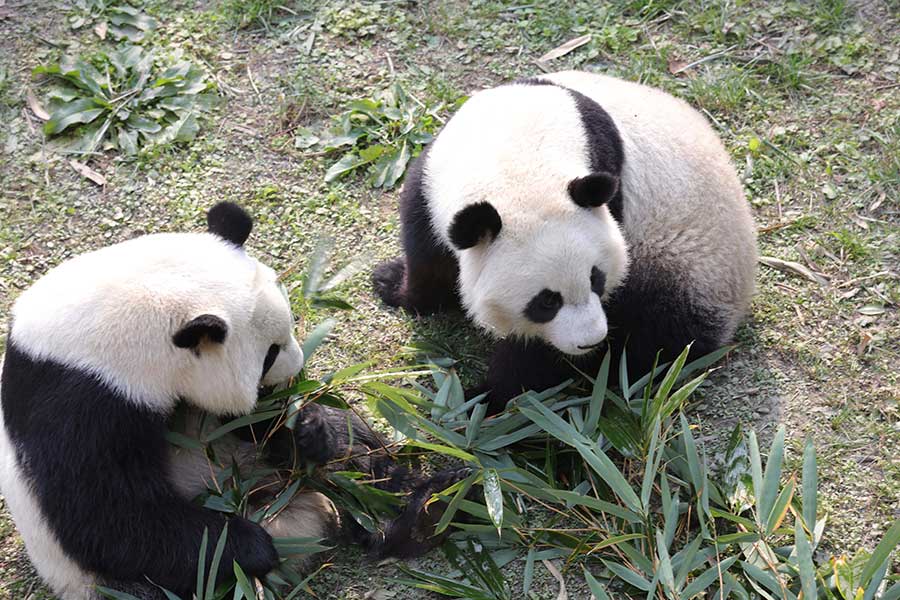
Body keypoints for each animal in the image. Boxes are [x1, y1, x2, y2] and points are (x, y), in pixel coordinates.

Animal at [0, 203, 460, 600]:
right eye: (269, 354)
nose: (296, 372)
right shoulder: (84, 398)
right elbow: (106, 516)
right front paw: (247, 546)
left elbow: (251, 427)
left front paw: (305, 428)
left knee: (361, 459)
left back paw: (417, 508)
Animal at [372, 71, 760, 412]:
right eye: (546, 301)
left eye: (596, 279)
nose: (591, 340)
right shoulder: (431, 182)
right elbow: (428, 255)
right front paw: (392, 284)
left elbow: (536, 357)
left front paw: (484, 399)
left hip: (688, 263)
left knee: (659, 334)